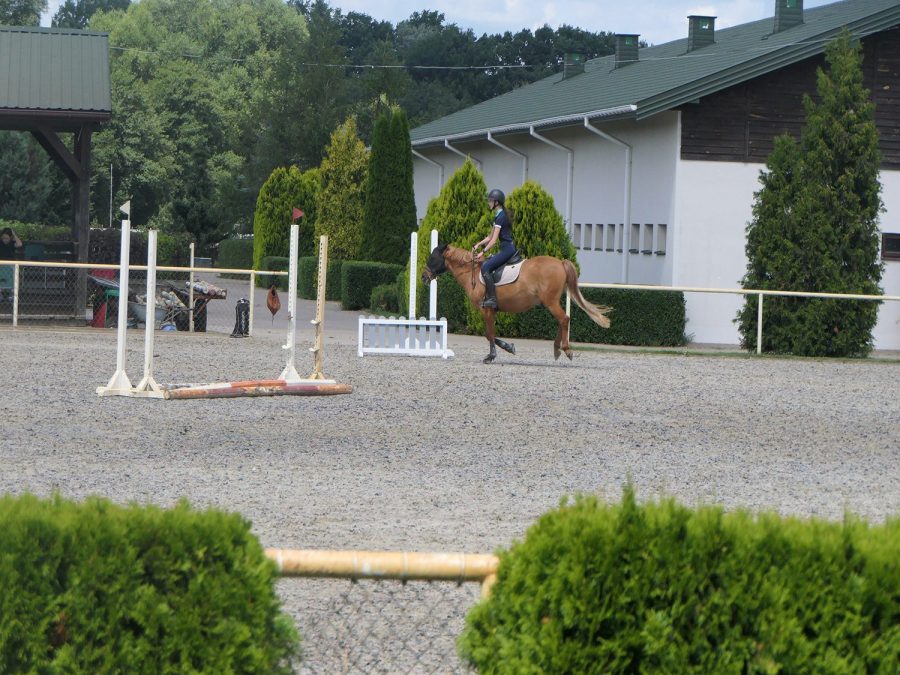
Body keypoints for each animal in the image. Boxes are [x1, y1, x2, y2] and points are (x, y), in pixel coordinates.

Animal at [422, 246, 612, 364]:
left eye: (432, 258)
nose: (424, 277)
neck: (472, 272)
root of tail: (560, 262)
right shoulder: (492, 310)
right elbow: (491, 335)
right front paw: (509, 348)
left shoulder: (486, 309)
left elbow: (489, 334)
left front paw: (492, 356)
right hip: (551, 301)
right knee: (562, 320)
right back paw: (557, 349)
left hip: (550, 301)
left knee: (564, 319)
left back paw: (565, 350)